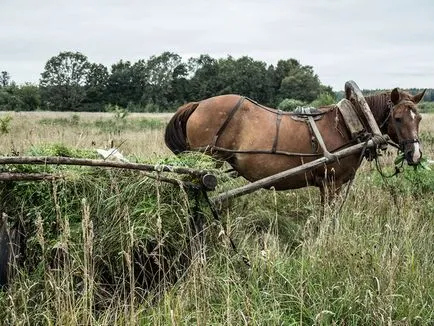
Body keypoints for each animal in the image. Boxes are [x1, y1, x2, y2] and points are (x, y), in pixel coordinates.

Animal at [164, 88, 426, 202]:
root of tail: (198, 105)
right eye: (398, 118)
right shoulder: (331, 183)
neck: (346, 124)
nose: (415, 154)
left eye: (419, 118)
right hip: (205, 163)